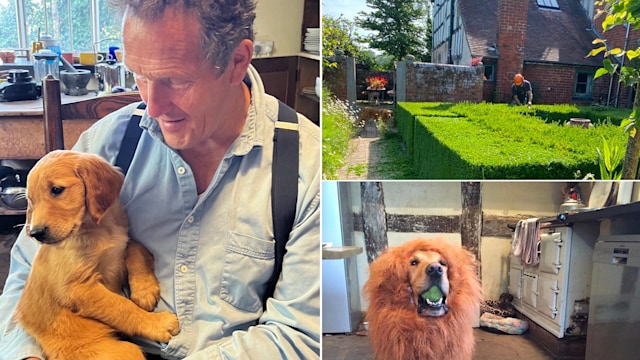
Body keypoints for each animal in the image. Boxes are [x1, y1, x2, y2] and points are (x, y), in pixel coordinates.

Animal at [15, 150, 180, 360]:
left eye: (57, 190)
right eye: (31, 200)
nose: (35, 233)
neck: (99, 229)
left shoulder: (120, 246)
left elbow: (135, 247)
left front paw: (145, 289)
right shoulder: (78, 288)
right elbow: (120, 306)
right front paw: (157, 324)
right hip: (120, 351)